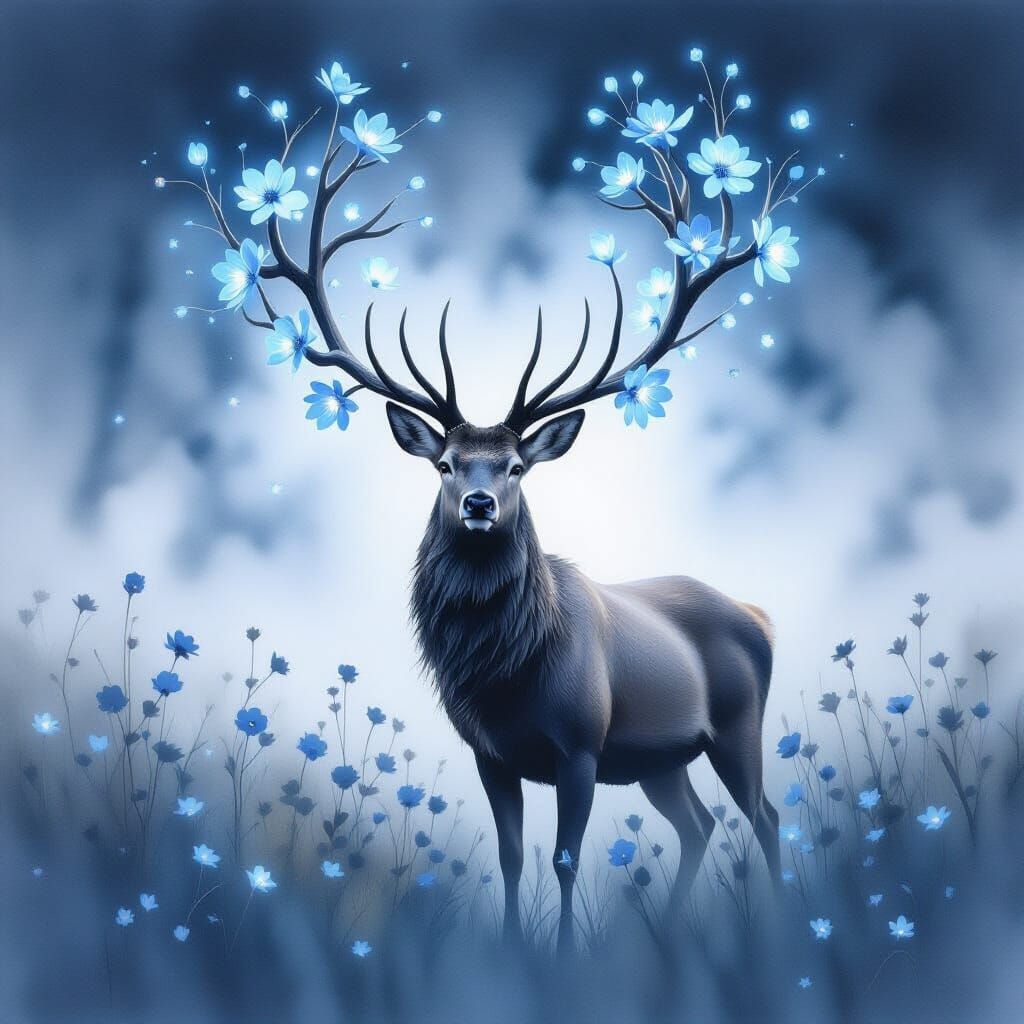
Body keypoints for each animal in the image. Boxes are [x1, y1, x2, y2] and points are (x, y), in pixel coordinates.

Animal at [171, 56, 810, 952]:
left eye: (515, 466)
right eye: (443, 462)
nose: (476, 503)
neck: (507, 671)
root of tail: (758, 613)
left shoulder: (581, 745)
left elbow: (565, 860)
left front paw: (566, 957)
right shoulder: (491, 753)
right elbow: (510, 858)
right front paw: (513, 952)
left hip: (736, 725)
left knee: (765, 815)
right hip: (660, 759)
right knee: (699, 825)